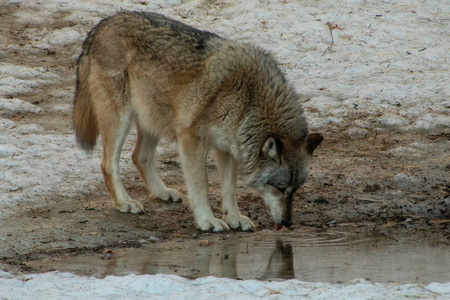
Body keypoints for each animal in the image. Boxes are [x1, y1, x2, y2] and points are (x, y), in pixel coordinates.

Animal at [74, 11, 322, 232]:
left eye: (295, 190)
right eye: (279, 188)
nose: (288, 223)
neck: (249, 100)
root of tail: (102, 24)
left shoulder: (228, 148)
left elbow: (229, 188)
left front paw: (234, 218)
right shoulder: (191, 139)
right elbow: (201, 186)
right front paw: (208, 221)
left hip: (153, 118)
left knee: (139, 157)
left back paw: (162, 192)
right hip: (120, 120)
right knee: (109, 164)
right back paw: (124, 202)